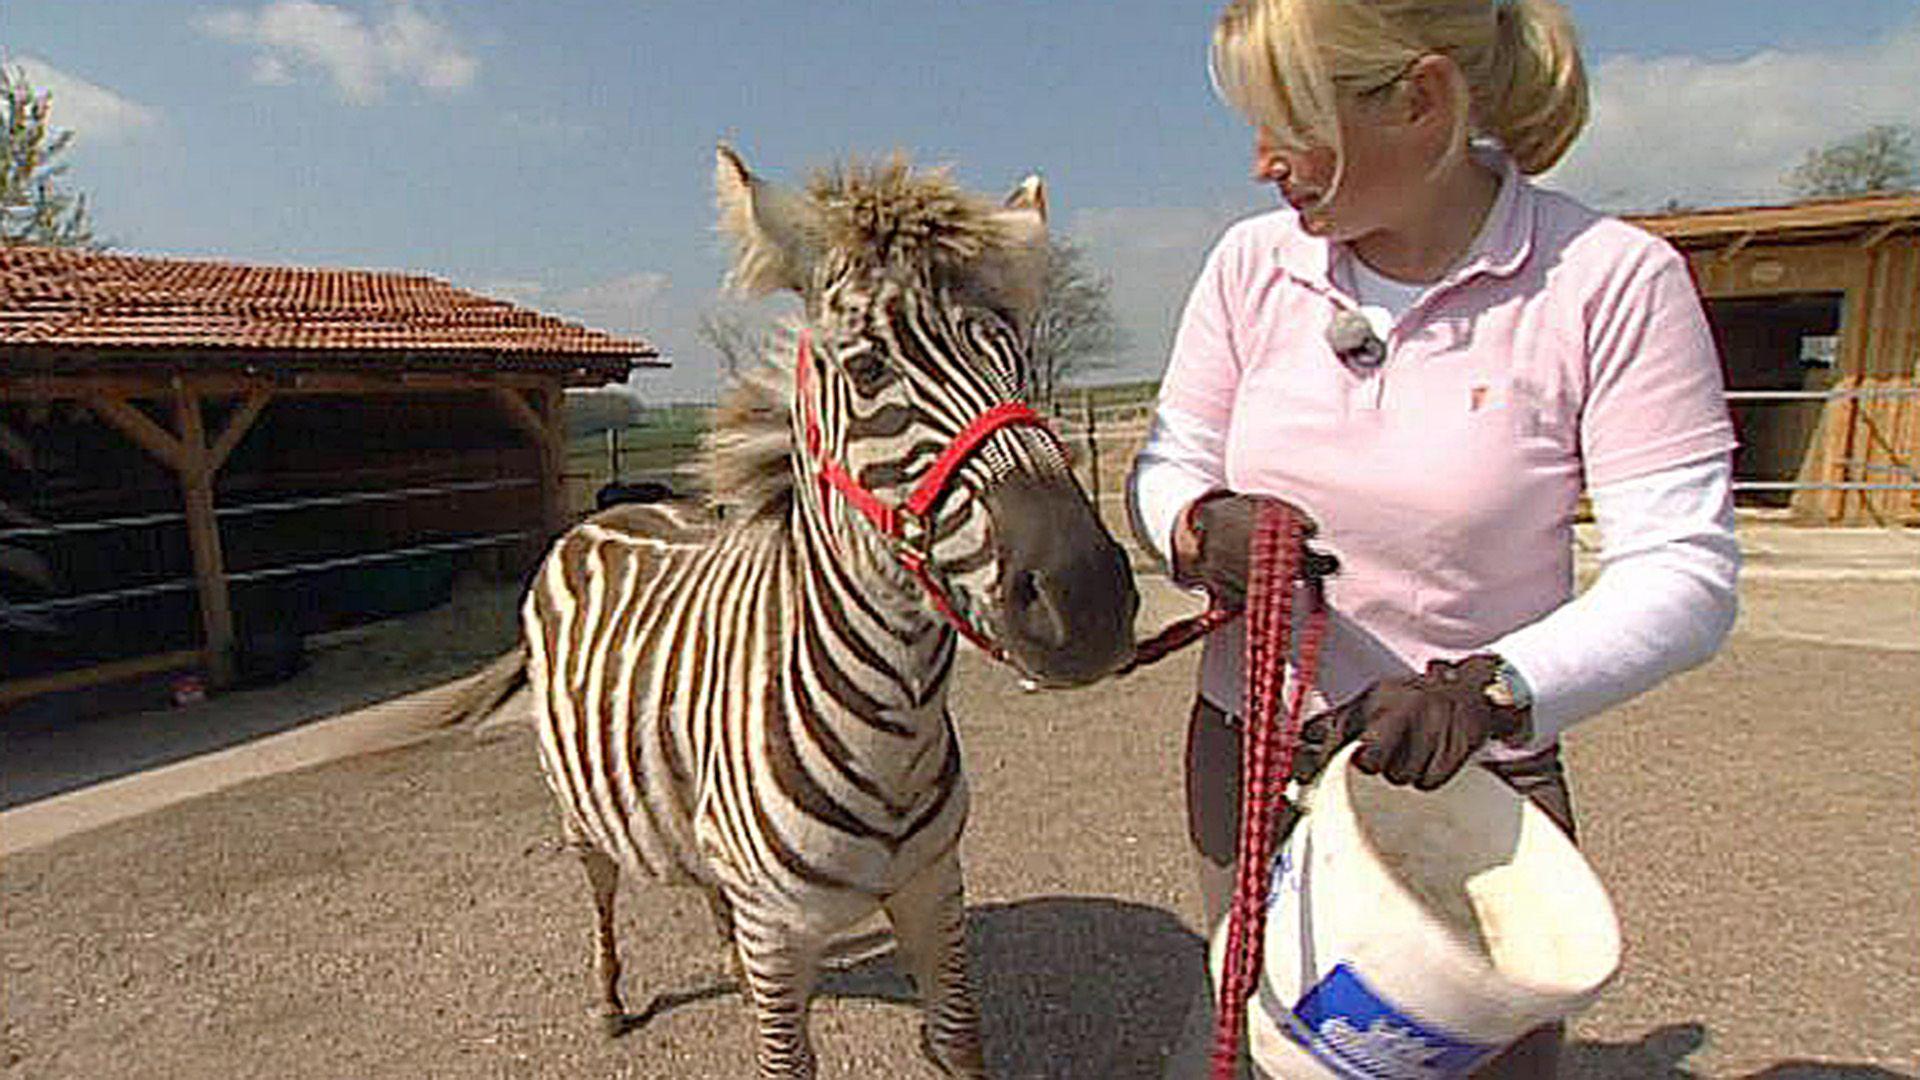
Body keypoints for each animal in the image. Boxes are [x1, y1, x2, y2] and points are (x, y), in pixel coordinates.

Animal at [500, 145, 1138, 1078]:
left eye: (1017, 359)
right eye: (868, 369)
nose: (1086, 598)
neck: (895, 738)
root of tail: (617, 510)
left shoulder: (933, 893)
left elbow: (959, 1038)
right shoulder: (782, 931)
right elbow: (785, 1060)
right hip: (576, 806)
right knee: (603, 895)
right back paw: (612, 1000)